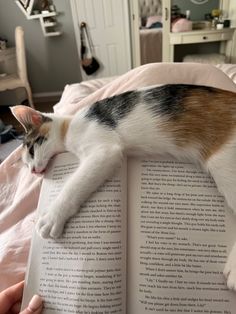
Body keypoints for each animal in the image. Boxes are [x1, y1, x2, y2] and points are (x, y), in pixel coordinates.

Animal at [11, 83, 236, 290]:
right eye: (26, 163)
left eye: (31, 150)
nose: (33, 170)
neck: (69, 126)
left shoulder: (104, 151)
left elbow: (74, 185)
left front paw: (51, 217)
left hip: (224, 164)